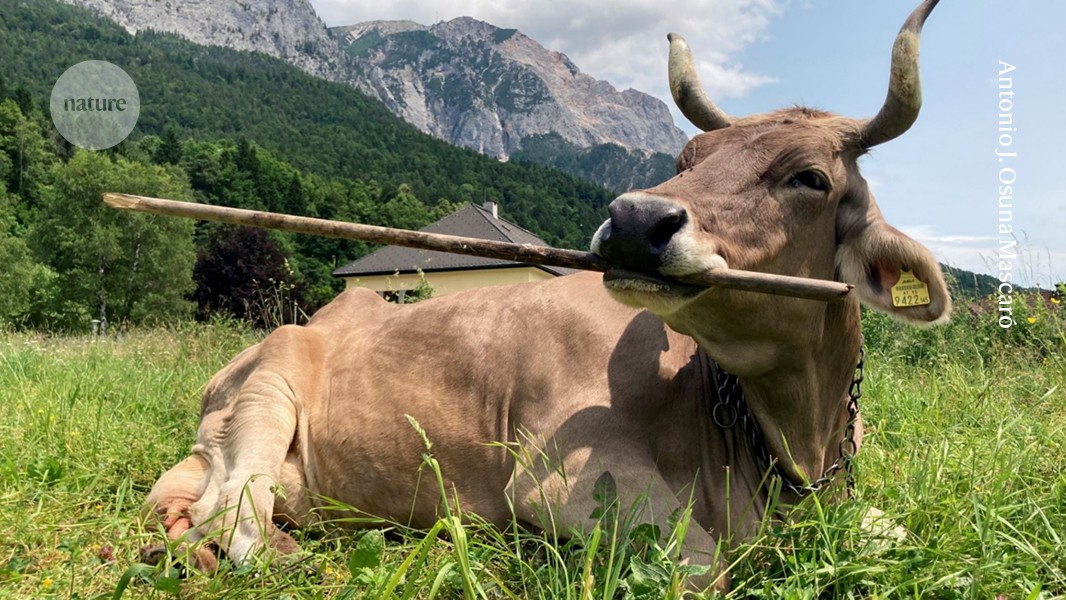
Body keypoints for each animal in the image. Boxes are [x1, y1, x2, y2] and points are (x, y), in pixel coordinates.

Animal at [142, 0, 948, 591]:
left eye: (810, 177)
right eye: (688, 157)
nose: (635, 220)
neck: (792, 444)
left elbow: (901, 529)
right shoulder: (562, 482)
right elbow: (704, 568)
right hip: (267, 394)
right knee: (231, 519)